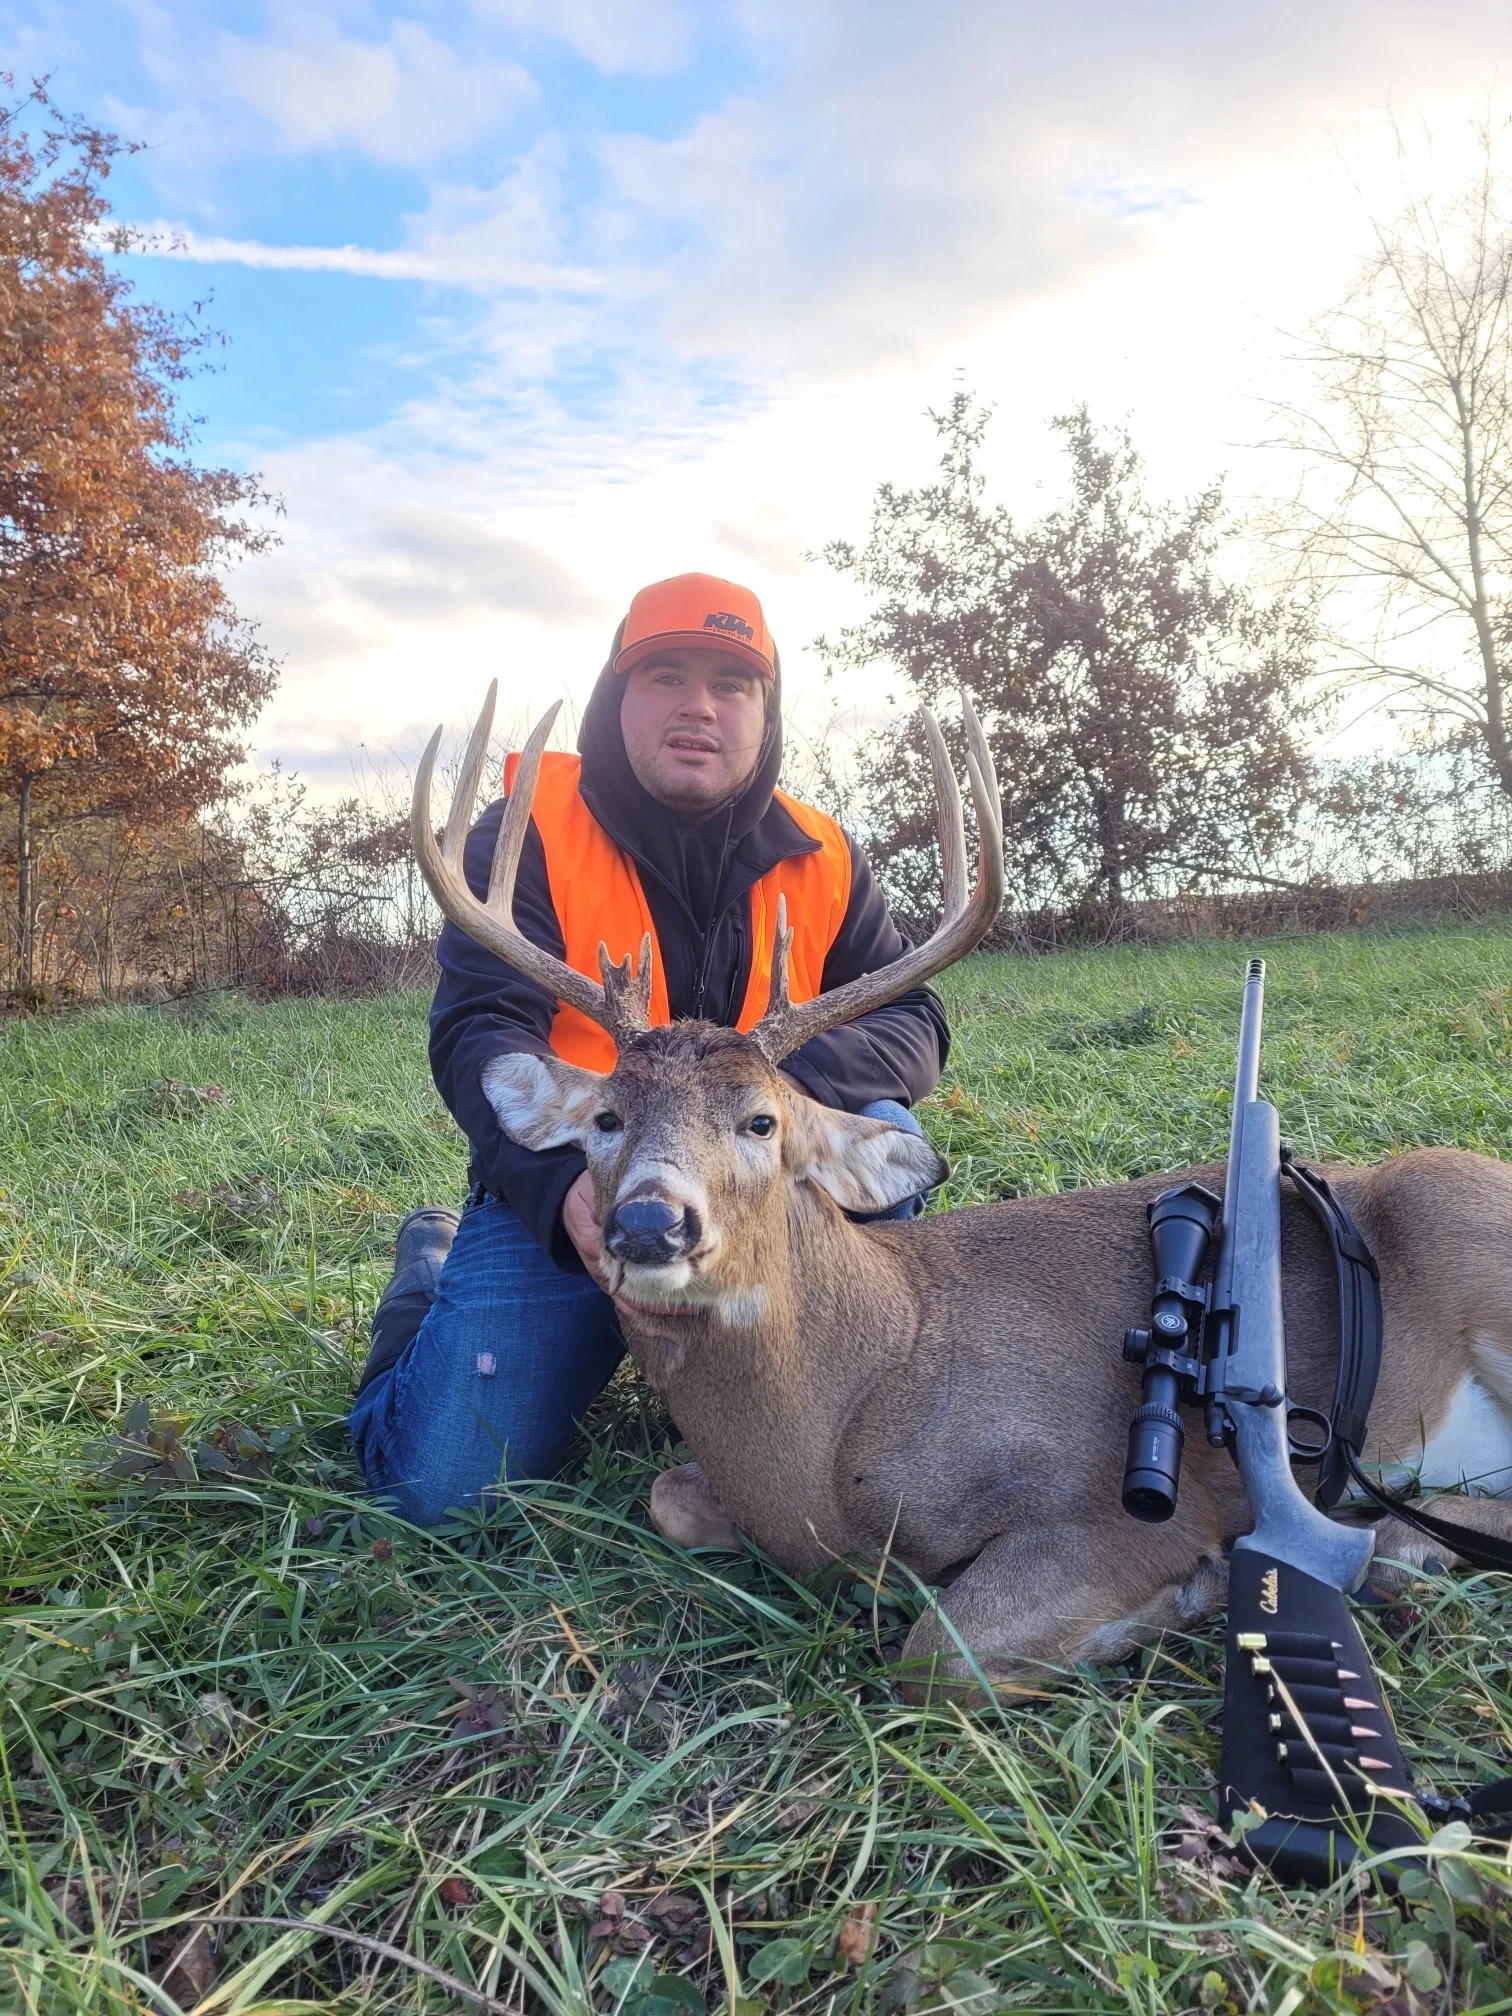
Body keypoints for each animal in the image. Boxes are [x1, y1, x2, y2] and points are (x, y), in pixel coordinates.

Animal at [412, 689, 1512, 1698]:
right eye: (605, 1119)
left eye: (761, 1121)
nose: (648, 1221)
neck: (842, 1420)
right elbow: (667, 1498)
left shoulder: (1104, 1492)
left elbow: (936, 1653)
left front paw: (1176, 1601)